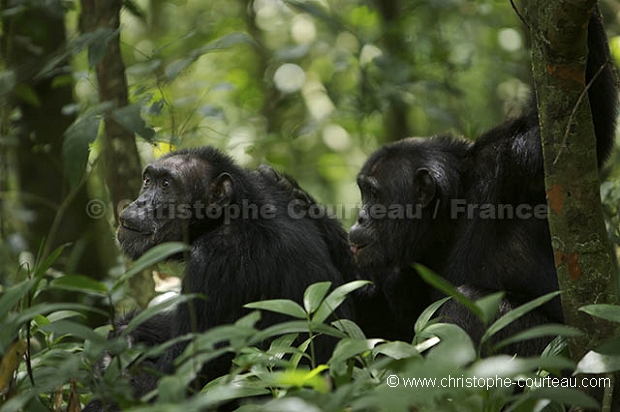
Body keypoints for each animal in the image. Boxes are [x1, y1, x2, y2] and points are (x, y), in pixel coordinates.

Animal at [87, 147, 358, 408]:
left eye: (165, 184)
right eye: (147, 180)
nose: (141, 203)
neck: (230, 214)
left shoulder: (213, 262)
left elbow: (176, 383)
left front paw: (111, 359)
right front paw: (127, 332)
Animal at [352, 8, 616, 354]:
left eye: (373, 195)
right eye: (363, 193)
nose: (359, 216)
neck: (450, 215)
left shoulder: (512, 165)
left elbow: (583, 121)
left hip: (556, 351)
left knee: (465, 305)